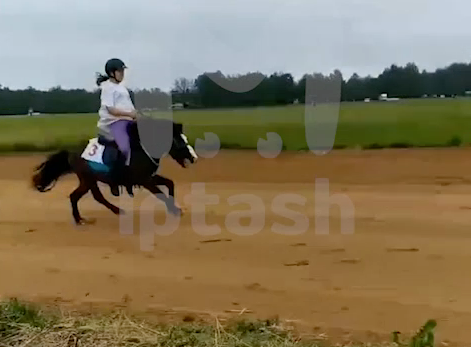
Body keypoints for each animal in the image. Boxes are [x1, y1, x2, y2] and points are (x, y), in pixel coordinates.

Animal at [31, 118, 197, 224]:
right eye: (179, 140)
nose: (193, 157)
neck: (141, 148)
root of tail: (71, 152)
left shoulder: (149, 177)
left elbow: (170, 183)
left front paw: (174, 208)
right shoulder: (146, 181)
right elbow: (161, 195)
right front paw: (174, 209)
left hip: (87, 180)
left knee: (75, 196)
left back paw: (80, 219)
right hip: (88, 178)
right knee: (95, 197)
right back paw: (116, 211)